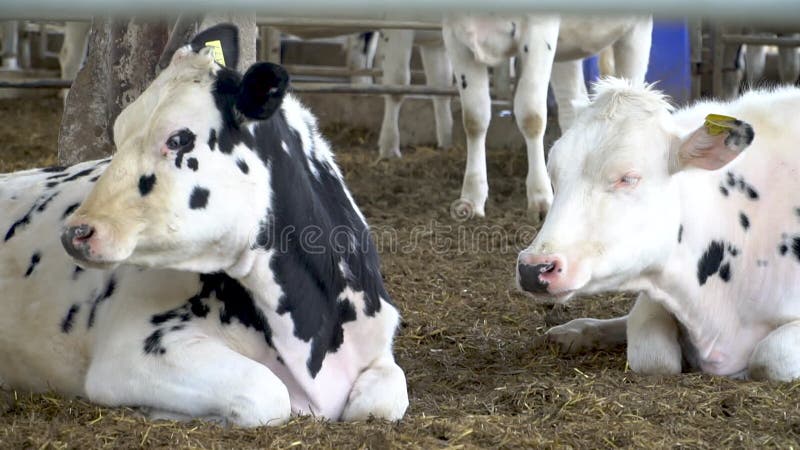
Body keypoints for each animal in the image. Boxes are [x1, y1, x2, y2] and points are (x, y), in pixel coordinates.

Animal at [0, 23, 410, 426]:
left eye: (179, 138)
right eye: (118, 135)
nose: (77, 233)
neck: (312, 331)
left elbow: (383, 400)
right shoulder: (130, 351)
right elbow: (267, 392)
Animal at [440, 15, 652, 221]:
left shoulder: (539, 32)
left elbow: (531, 116)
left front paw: (540, 197)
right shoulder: (454, 35)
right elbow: (474, 118)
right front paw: (471, 197)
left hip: (635, 32)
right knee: (571, 103)